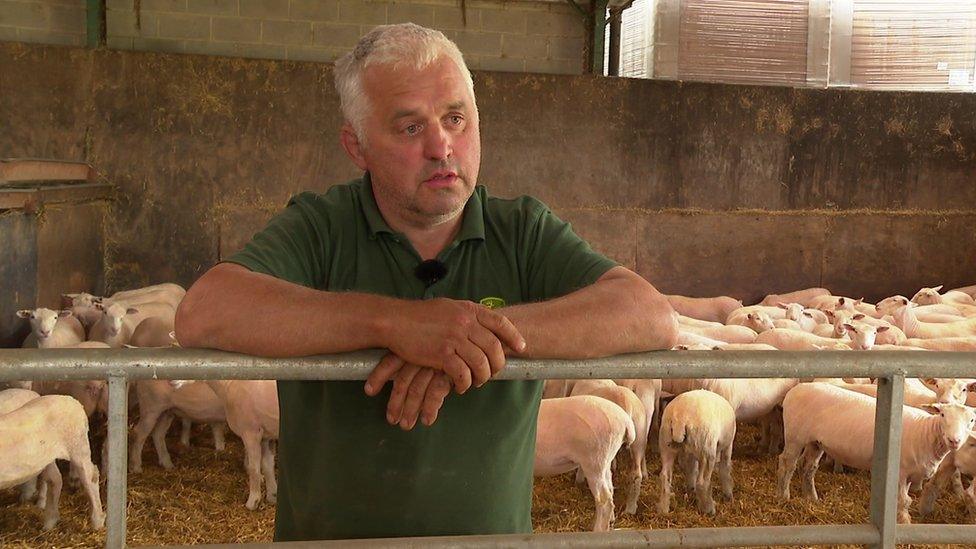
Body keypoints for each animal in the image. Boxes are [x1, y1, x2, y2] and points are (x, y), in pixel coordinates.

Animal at [0, 396, 104, 528]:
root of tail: (74, 401)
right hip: (48, 458)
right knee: (55, 479)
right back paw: (50, 521)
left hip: (78, 446)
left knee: (91, 477)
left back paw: (97, 521)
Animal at [532, 394, 632, 532]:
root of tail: (625, 420)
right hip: (605, 461)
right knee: (610, 490)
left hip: (594, 461)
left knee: (604, 500)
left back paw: (597, 530)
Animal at [772, 382, 972, 524]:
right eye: (943, 415)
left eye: (971, 420)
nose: (954, 440)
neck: (925, 432)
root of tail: (794, 390)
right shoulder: (899, 472)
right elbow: (903, 501)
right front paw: (904, 524)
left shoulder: (909, 474)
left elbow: (904, 501)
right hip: (795, 436)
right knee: (787, 464)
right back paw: (783, 497)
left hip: (815, 442)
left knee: (808, 467)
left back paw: (811, 499)